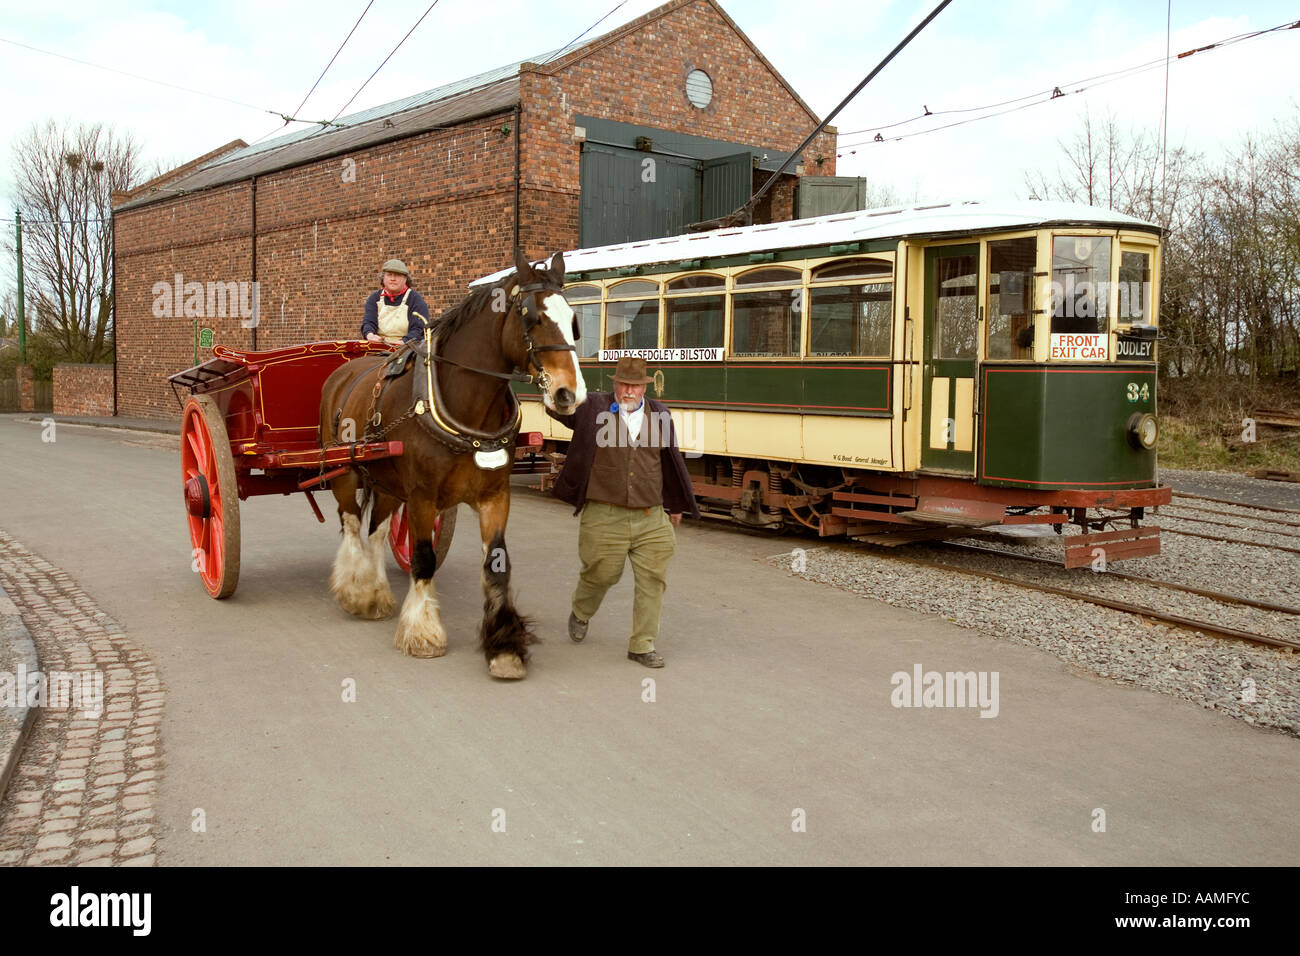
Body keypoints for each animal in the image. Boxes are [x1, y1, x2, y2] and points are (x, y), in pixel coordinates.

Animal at [319, 251, 590, 676]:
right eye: (531, 316)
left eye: (572, 320)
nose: (569, 394)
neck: (468, 408)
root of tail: (344, 372)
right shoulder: (422, 496)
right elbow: (423, 559)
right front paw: (423, 632)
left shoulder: (495, 496)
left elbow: (497, 564)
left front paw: (505, 646)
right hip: (344, 472)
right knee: (350, 524)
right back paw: (356, 590)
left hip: (387, 481)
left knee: (377, 529)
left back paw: (376, 594)